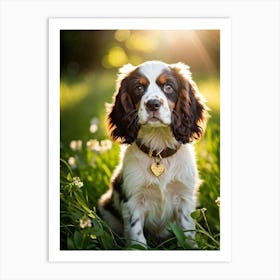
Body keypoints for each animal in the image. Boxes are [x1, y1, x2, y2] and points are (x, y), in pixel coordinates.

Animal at [98, 60, 208, 246]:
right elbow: (137, 237)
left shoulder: (185, 197)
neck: (159, 151)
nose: (153, 104)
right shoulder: (133, 199)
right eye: (139, 88)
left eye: (168, 87)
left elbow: (187, 231)